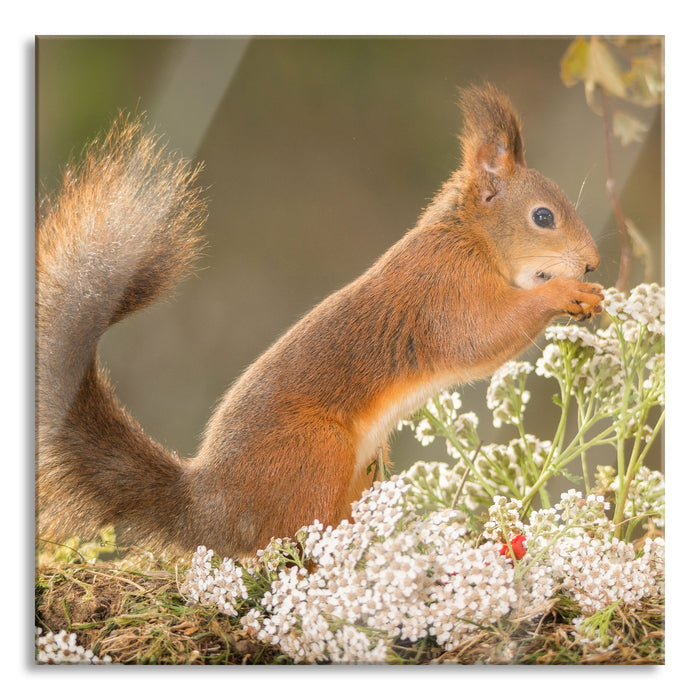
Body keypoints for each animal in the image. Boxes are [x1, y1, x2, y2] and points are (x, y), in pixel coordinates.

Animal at [36, 84, 603, 558]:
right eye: (543, 217)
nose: (593, 264)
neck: (469, 236)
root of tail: (211, 507)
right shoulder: (445, 290)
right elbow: (480, 338)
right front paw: (564, 293)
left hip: (365, 468)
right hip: (315, 454)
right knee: (294, 543)